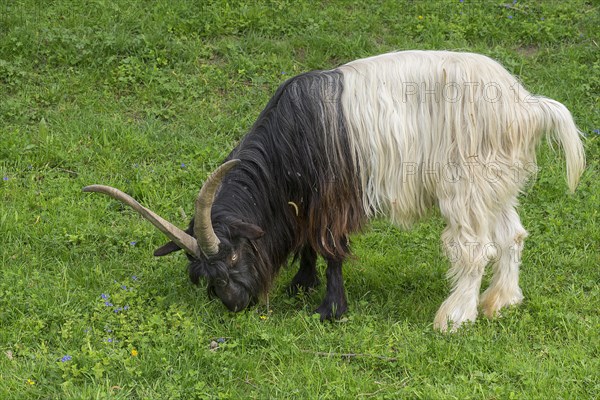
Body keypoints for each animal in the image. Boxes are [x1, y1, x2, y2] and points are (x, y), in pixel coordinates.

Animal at [82, 50, 584, 332]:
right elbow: (306, 242)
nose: (235, 303)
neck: (292, 135)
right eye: (201, 276)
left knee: (475, 247)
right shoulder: (303, 202)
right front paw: (300, 284)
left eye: (232, 255)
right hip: (497, 182)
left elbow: (332, 250)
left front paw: (330, 309)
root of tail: (525, 106)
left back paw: (455, 318)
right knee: (512, 234)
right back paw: (502, 302)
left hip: (467, 183)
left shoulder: (333, 197)